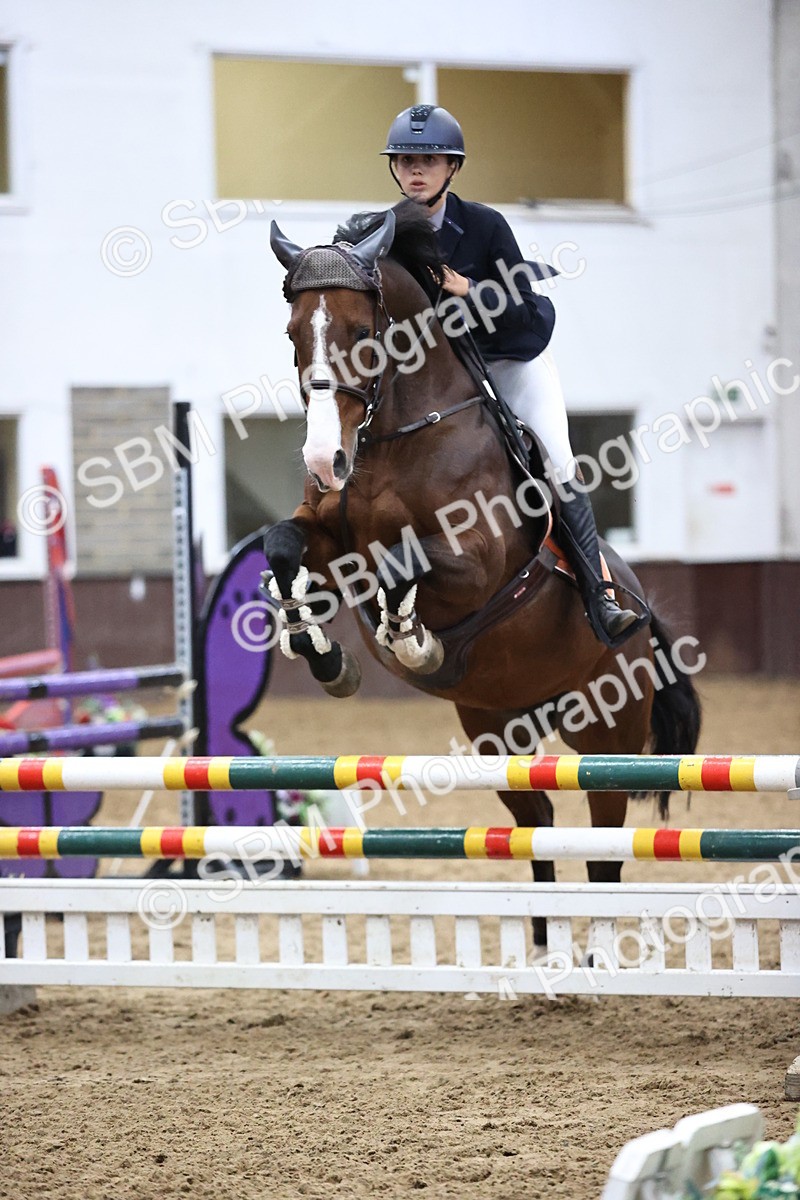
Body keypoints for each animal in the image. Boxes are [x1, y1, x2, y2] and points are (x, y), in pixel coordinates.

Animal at [264, 203, 701, 944]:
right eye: (293, 334)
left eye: (362, 333)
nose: (325, 460)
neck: (393, 435)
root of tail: (642, 607)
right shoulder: (324, 529)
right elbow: (282, 547)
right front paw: (320, 648)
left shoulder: (476, 564)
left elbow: (404, 561)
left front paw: (411, 638)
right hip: (498, 726)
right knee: (538, 825)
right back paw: (544, 948)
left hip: (605, 730)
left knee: (602, 851)